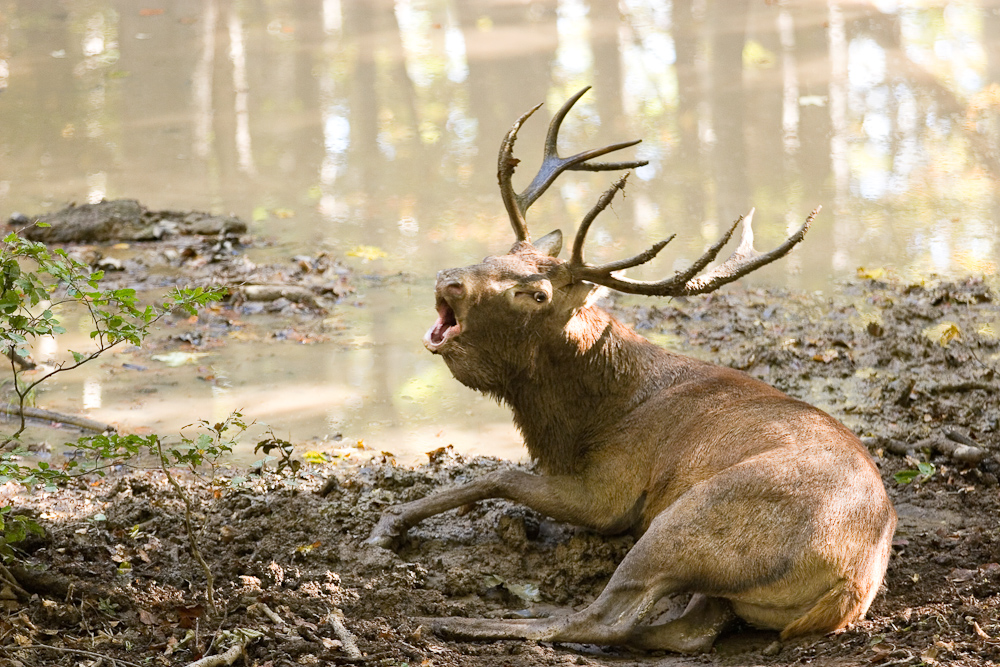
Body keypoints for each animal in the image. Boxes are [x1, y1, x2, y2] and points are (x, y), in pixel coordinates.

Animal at [370, 87, 900, 652]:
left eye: (536, 294)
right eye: (495, 255)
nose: (449, 281)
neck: (578, 425)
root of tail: (851, 582)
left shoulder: (611, 493)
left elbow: (500, 474)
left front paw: (386, 529)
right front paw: (391, 525)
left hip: (686, 518)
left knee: (602, 618)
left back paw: (454, 621)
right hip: (724, 583)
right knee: (690, 631)